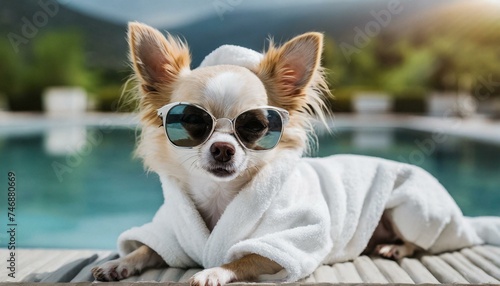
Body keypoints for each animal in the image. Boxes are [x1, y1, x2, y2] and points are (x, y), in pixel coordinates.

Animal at [91, 21, 496, 284]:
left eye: (254, 125)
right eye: (192, 121)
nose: (222, 149)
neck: (221, 198)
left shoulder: (290, 243)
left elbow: (246, 257)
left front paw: (214, 270)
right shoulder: (173, 234)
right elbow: (149, 249)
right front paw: (120, 263)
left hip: (411, 207)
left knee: (421, 243)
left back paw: (397, 248)